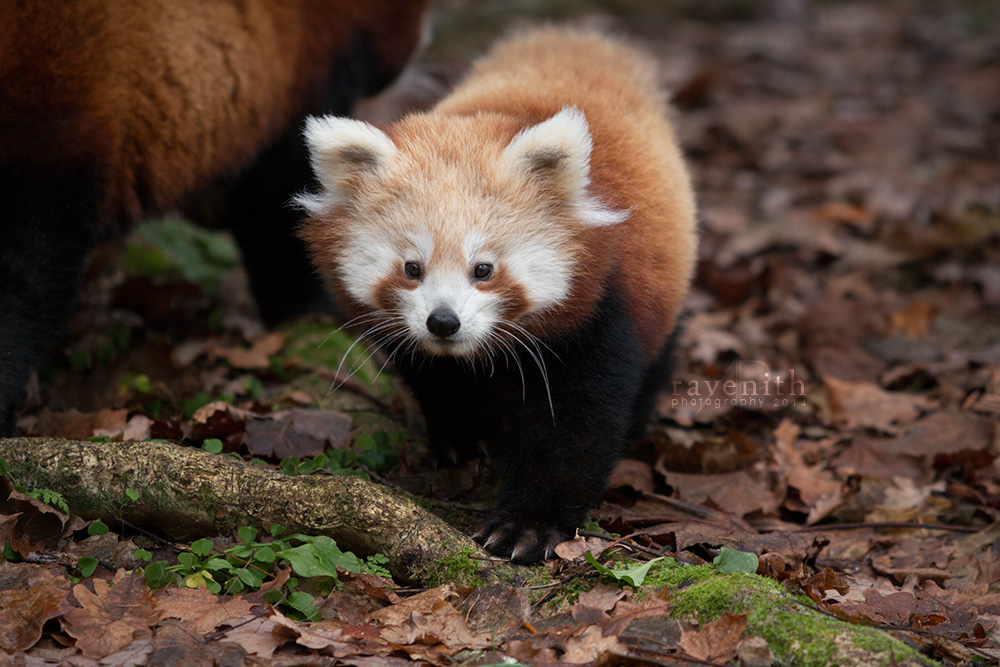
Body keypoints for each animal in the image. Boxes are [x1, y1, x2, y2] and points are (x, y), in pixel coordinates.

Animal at [296, 30, 696, 564]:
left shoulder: (598, 312)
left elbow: (575, 426)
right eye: (412, 268)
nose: (443, 322)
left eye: (482, 269)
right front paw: (460, 437)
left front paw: (529, 524)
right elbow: (436, 379)